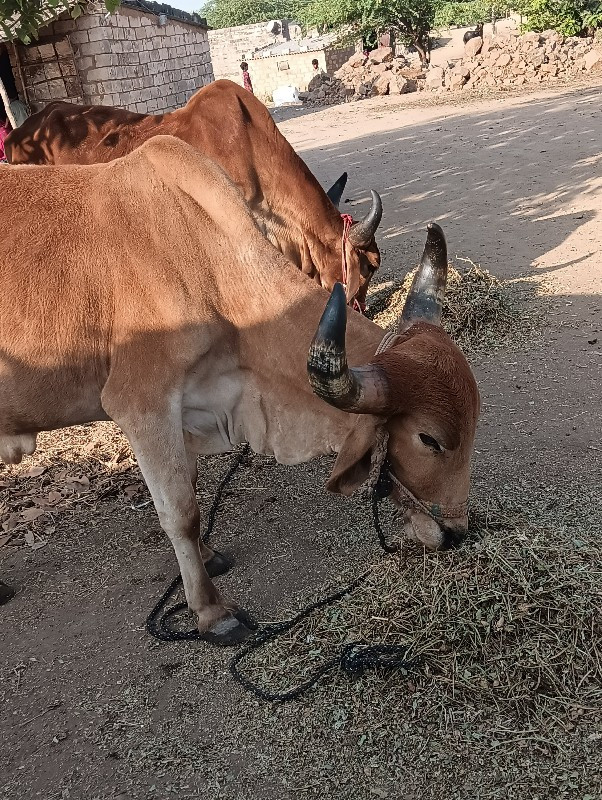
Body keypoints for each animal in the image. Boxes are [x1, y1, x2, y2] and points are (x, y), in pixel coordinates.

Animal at [1, 134, 478, 640]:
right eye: (429, 439)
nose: (456, 532)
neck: (206, 266)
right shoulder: (142, 405)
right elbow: (181, 512)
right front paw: (211, 611)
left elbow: (190, 486)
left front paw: (209, 557)